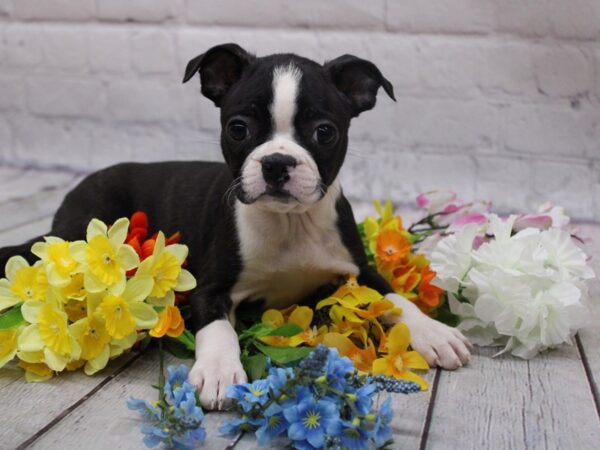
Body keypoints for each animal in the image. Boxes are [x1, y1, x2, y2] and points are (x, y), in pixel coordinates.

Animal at [0, 44, 468, 410]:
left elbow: (394, 297)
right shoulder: (208, 287)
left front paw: (434, 332)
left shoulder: (359, 269)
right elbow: (218, 327)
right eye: (238, 128)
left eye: (324, 132)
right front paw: (220, 371)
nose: (277, 162)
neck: (289, 225)